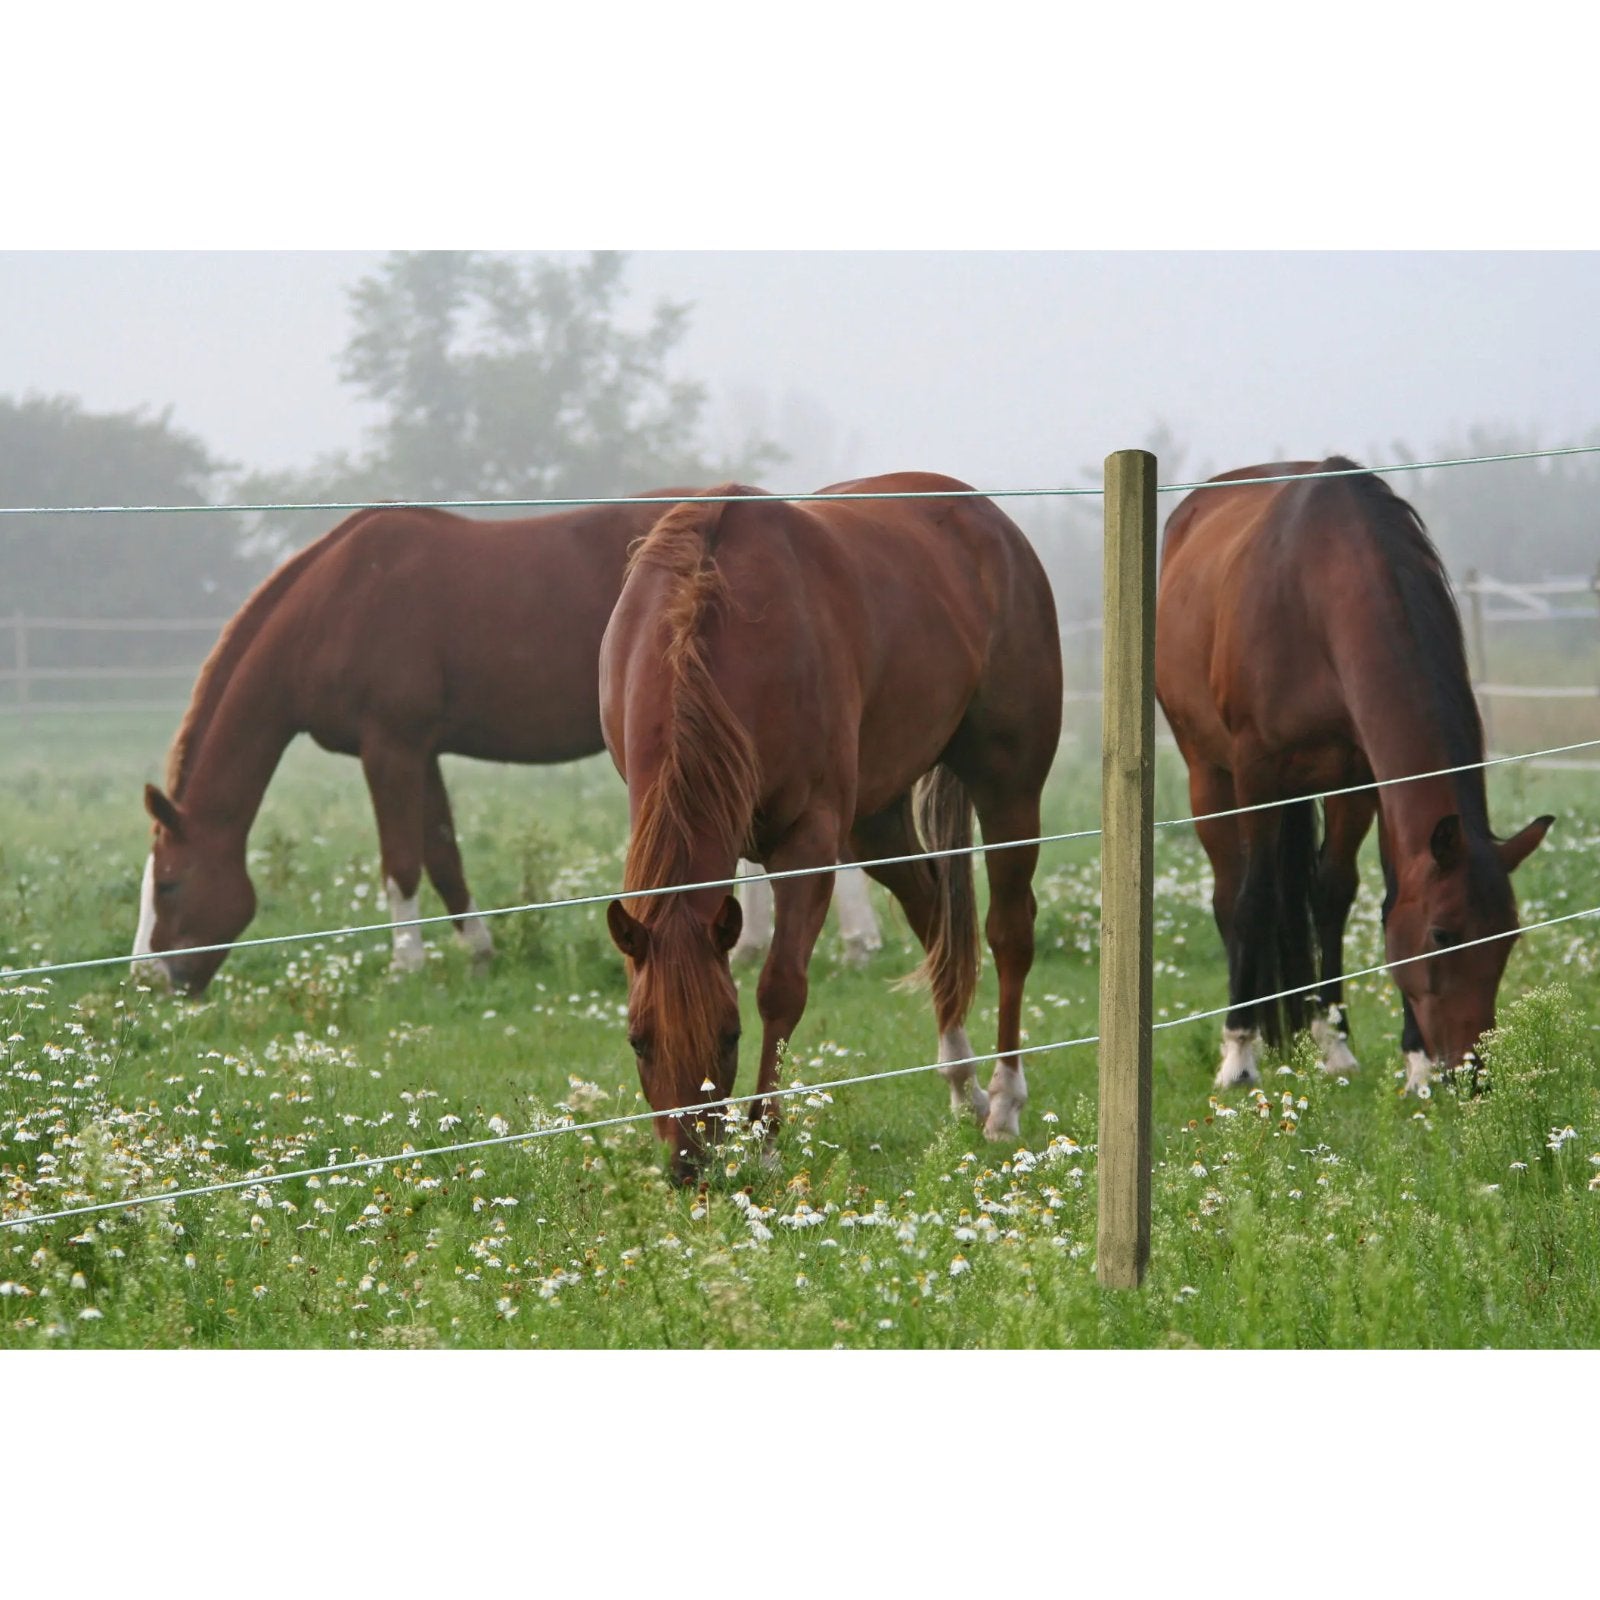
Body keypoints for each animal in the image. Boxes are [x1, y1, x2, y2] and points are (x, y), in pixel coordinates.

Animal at [131, 495, 883, 995]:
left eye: (169, 885)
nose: (149, 976)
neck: (338, 603)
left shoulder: (390, 747)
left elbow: (401, 862)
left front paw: (406, 964)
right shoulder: (421, 751)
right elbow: (443, 853)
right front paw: (479, 951)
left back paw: (856, 943)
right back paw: (753, 942)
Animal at [599, 474, 1062, 1178]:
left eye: (729, 1036)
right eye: (637, 1041)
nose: (689, 1166)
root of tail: (992, 521)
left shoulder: (809, 844)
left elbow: (781, 988)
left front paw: (765, 1140)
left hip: (1008, 787)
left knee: (1009, 932)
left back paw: (1004, 1102)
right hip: (874, 820)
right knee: (933, 910)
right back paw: (962, 1085)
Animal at [1154, 458, 1553, 1096]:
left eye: (1509, 936)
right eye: (1443, 935)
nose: (1472, 1074)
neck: (1319, 591)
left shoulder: (1363, 776)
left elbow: (1353, 893)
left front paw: (1393, 1057)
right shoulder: (1256, 772)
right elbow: (1254, 901)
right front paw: (1238, 1056)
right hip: (1208, 774)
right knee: (1229, 892)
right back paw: (1251, 1038)